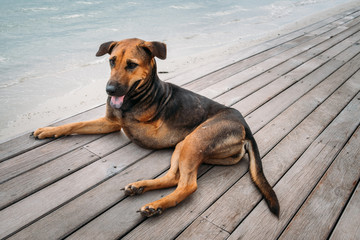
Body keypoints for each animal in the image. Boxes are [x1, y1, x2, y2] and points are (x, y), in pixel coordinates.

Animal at [33, 37, 280, 218]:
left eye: (131, 65)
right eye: (112, 61)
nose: (109, 90)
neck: (138, 95)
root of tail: (245, 126)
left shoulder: (145, 130)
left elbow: (127, 124)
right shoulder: (109, 122)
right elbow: (77, 123)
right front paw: (48, 130)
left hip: (193, 140)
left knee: (188, 185)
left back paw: (156, 205)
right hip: (184, 145)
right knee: (173, 178)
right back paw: (140, 187)